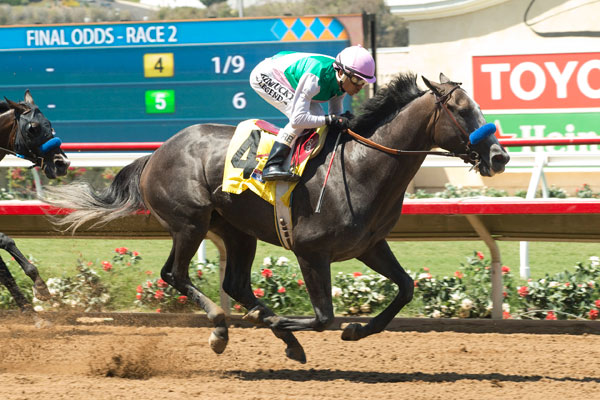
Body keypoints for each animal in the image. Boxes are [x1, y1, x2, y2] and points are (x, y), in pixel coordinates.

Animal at [44, 73, 508, 364]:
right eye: (462, 109)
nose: (499, 156)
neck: (361, 167)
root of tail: (157, 152)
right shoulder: (310, 251)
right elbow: (324, 317)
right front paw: (279, 321)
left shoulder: (369, 245)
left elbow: (406, 288)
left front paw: (357, 331)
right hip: (190, 223)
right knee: (174, 274)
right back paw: (222, 327)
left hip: (236, 230)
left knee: (234, 283)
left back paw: (279, 337)